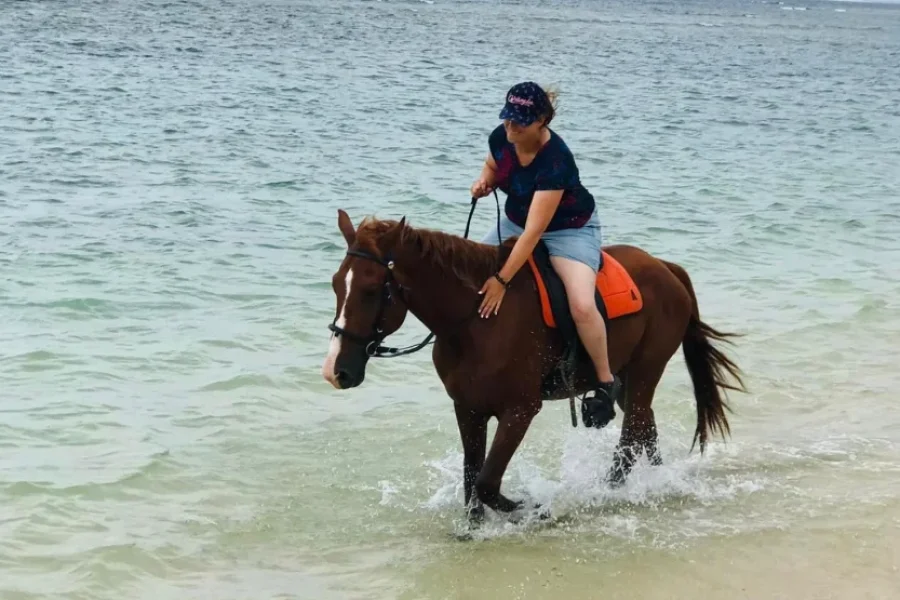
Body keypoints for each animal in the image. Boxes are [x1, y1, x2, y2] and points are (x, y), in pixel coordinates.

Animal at [321, 208, 746, 523]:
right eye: (336, 284)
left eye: (371, 290)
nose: (336, 371)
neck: (476, 320)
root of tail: (665, 268)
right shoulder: (468, 409)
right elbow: (471, 478)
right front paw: (473, 529)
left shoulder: (520, 409)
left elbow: (487, 482)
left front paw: (535, 508)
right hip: (629, 380)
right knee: (644, 429)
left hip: (644, 372)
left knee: (630, 438)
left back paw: (608, 493)